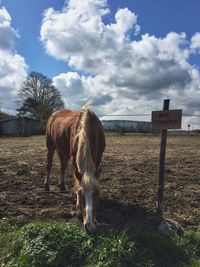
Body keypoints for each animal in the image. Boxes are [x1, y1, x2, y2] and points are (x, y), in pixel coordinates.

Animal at [44, 103, 106, 233]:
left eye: (97, 193)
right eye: (80, 193)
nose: (89, 226)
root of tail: (54, 113)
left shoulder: (99, 156)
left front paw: (95, 219)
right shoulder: (74, 158)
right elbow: (77, 181)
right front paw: (77, 207)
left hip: (62, 149)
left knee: (62, 165)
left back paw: (62, 186)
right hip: (50, 145)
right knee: (49, 165)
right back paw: (46, 186)